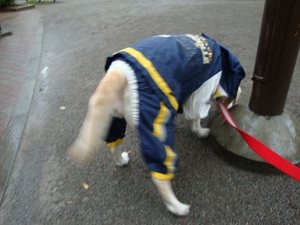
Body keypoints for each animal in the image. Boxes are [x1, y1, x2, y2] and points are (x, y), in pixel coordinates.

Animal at [68, 33, 246, 216]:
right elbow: (195, 117)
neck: (222, 60)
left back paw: (121, 160)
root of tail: (120, 70)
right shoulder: (201, 90)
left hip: (114, 119)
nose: (231, 107)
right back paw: (177, 207)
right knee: (160, 175)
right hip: (155, 122)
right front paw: (201, 131)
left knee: (113, 145)